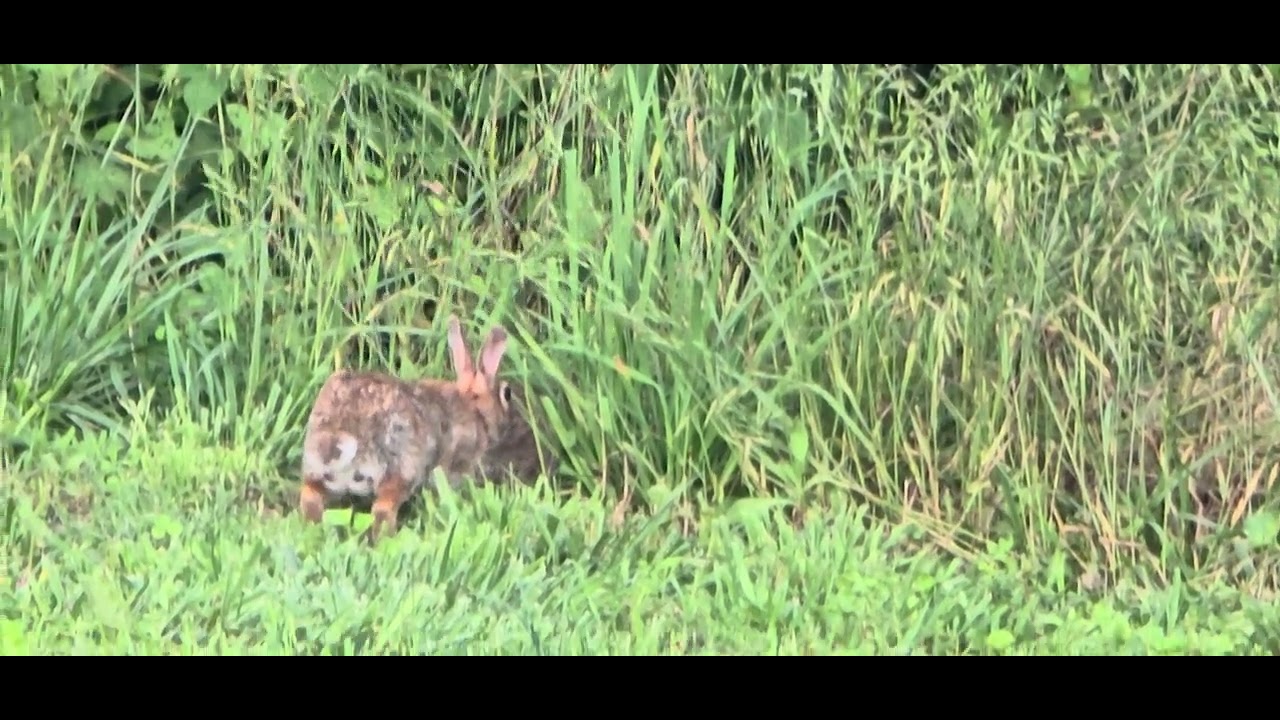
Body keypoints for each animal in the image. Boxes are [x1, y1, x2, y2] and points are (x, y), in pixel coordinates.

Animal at [298, 313, 555, 542]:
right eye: (507, 394)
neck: (475, 410)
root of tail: (343, 428)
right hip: (400, 469)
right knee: (383, 509)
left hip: (320, 474)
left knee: (310, 498)